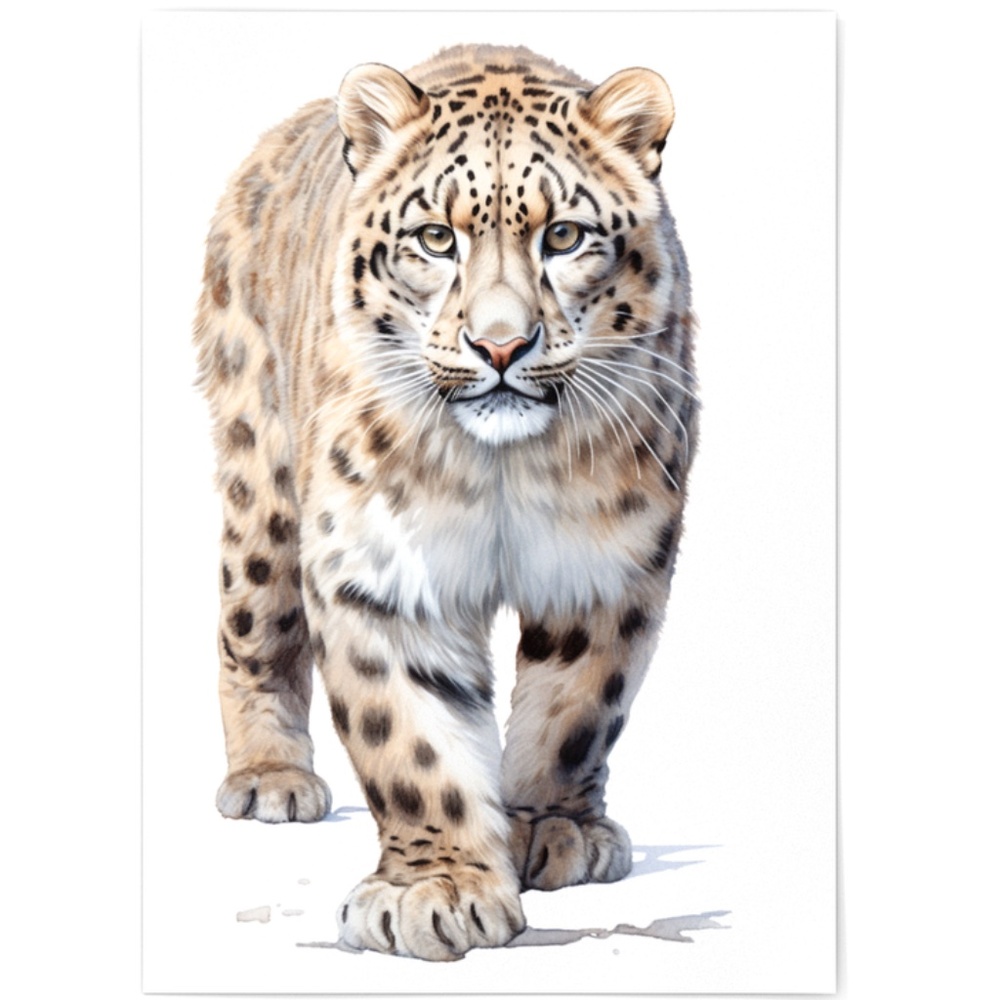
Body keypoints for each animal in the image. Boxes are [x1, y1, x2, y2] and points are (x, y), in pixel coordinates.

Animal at [193, 43, 698, 961]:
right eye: (436, 237)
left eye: (563, 235)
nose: (500, 345)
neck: (501, 474)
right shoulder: (379, 566)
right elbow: (411, 738)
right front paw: (437, 889)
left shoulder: (610, 565)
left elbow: (576, 708)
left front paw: (552, 828)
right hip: (260, 481)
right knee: (249, 624)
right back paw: (270, 778)